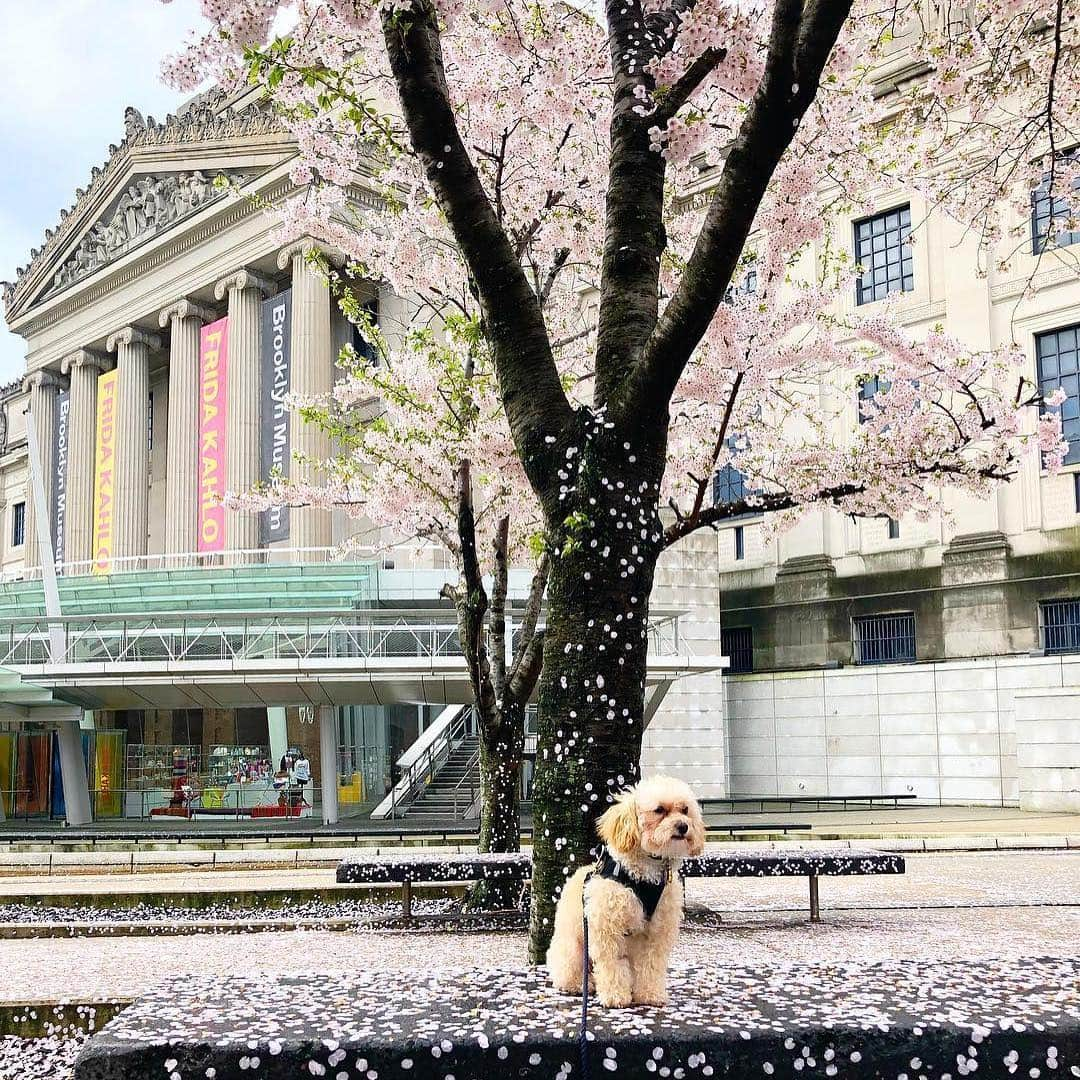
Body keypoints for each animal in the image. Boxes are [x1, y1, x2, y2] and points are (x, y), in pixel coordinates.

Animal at [544, 773, 704, 1006]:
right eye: (659, 810)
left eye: (685, 810)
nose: (683, 826)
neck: (644, 876)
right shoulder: (608, 930)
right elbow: (612, 963)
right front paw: (615, 995)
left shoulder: (657, 932)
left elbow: (651, 964)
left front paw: (650, 993)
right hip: (573, 946)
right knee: (571, 969)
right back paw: (579, 984)